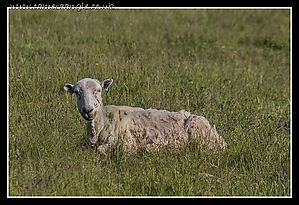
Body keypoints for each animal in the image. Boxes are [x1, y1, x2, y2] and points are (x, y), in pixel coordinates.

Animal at [63, 77, 227, 153]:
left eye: (98, 90)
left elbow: (101, 150)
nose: (88, 110)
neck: (102, 124)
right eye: (76, 92)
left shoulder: (127, 144)